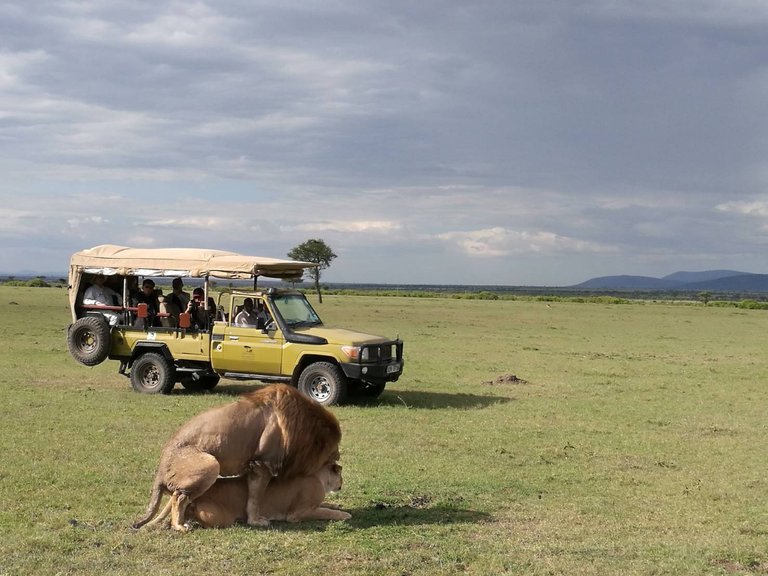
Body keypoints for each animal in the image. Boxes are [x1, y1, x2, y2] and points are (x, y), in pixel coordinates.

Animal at [132, 382, 340, 532]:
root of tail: (160, 470)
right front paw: (256, 521)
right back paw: (179, 525)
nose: (338, 457)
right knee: (178, 497)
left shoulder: (253, 467)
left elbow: (251, 494)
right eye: (334, 447)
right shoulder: (262, 464)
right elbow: (256, 497)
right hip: (211, 464)